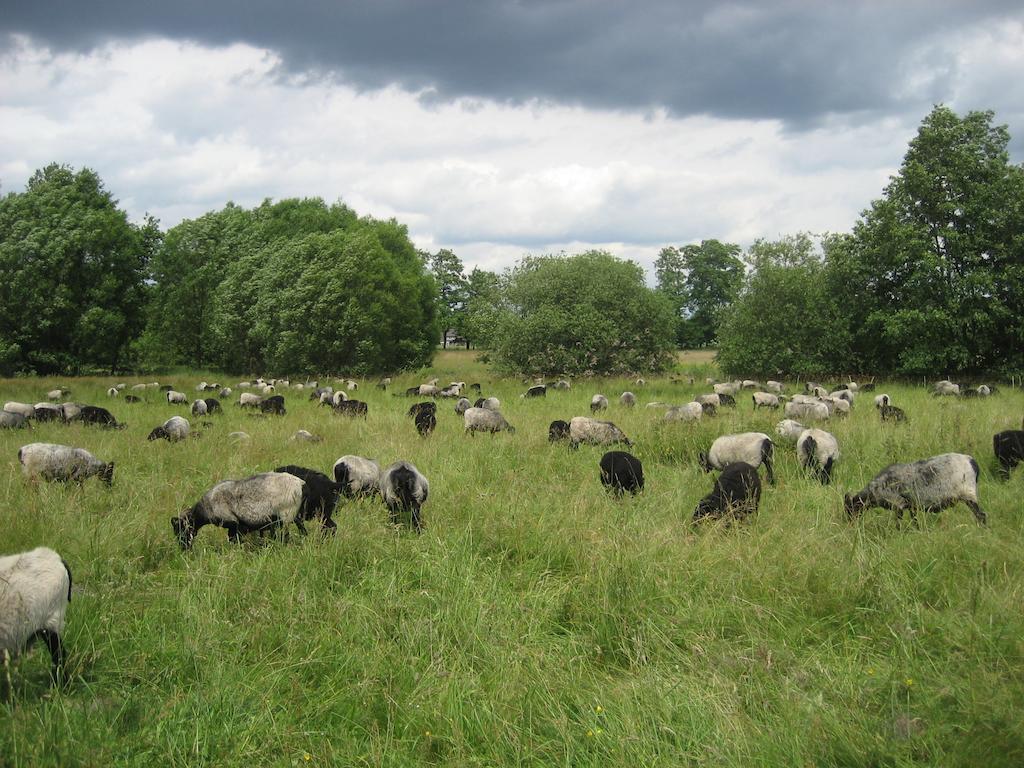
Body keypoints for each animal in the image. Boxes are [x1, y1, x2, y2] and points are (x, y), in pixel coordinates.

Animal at [172, 473, 309, 548]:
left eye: (180, 529)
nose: (184, 549)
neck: (205, 508)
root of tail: (300, 483)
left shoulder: (234, 524)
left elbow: (234, 540)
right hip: (294, 515)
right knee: (302, 529)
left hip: (286, 515)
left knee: (286, 536)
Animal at [843, 454, 987, 528]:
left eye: (850, 509)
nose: (849, 525)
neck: (874, 491)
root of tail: (972, 462)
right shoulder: (912, 505)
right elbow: (915, 520)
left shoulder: (898, 505)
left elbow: (898, 523)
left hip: (969, 494)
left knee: (981, 515)